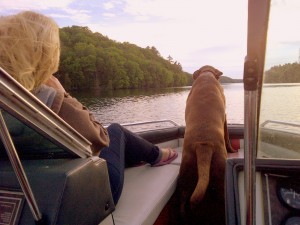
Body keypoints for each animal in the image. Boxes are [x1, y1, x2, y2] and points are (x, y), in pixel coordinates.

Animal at [176, 65, 237, 223]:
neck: (206, 76)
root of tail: (203, 146)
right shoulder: (225, 117)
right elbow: (227, 136)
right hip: (222, 175)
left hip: (185, 173)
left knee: (183, 201)